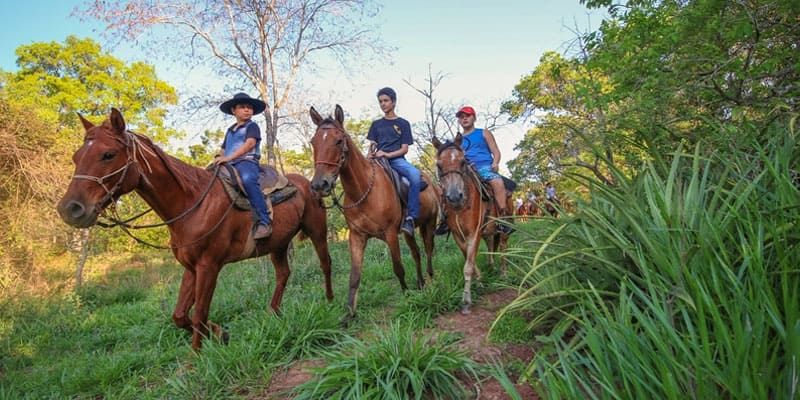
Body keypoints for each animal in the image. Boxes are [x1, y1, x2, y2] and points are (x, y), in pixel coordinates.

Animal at [56, 109, 332, 350]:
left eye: (108, 154)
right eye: (76, 157)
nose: (70, 209)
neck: (192, 204)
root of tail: (307, 182)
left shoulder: (209, 266)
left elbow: (199, 313)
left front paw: (194, 359)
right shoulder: (191, 267)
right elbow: (180, 315)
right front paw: (221, 334)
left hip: (317, 231)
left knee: (325, 262)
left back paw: (329, 301)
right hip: (279, 244)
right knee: (283, 274)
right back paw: (273, 313)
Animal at [308, 105, 438, 318]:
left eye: (339, 140)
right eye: (313, 142)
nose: (320, 184)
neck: (363, 192)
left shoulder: (391, 233)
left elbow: (398, 267)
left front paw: (406, 296)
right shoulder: (357, 236)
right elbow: (354, 276)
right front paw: (349, 314)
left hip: (429, 223)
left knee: (428, 249)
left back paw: (431, 278)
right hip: (408, 231)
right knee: (416, 252)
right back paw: (420, 283)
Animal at [432, 134, 512, 312]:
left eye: (463, 161)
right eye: (439, 165)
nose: (455, 196)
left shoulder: (473, 233)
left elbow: (468, 266)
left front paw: (466, 300)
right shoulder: (458, 236)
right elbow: (470, 260)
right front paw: (480, 282)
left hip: (504, 228)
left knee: (503, 248)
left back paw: (504, 273)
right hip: (487, 230)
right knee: (490, 244)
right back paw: (491, 266)